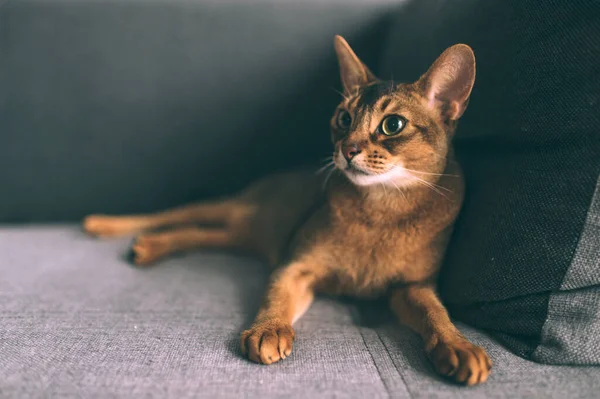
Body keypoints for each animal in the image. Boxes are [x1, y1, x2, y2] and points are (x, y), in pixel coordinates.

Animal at [84, 36, 492, 386]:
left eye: (393, 124)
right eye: (344, 118)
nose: (347, 149)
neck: (380, 211)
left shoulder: (412, 287)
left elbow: (436, 313)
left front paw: (458, 346)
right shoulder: (296, 264)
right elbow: (276, 297)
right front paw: (268, 329)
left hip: (243, 234)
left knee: (203, 234)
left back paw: (151, 246)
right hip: (233, 208)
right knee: (175, 214)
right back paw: (105, 225)